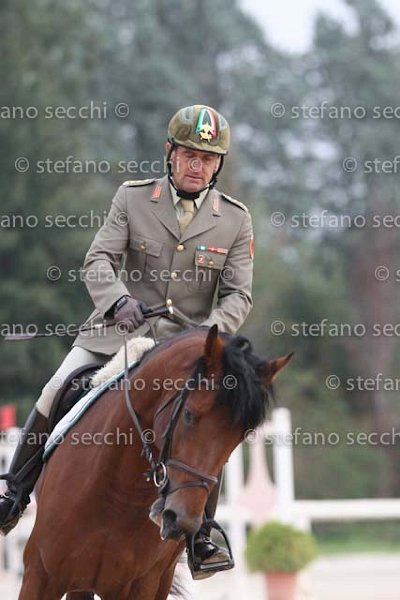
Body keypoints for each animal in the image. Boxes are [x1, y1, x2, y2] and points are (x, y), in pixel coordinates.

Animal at [19, 324, 292, 600]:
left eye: (241, 436)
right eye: (189, 415)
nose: (180, 520)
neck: (119, 489)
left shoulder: (140, 584)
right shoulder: (40, 574)